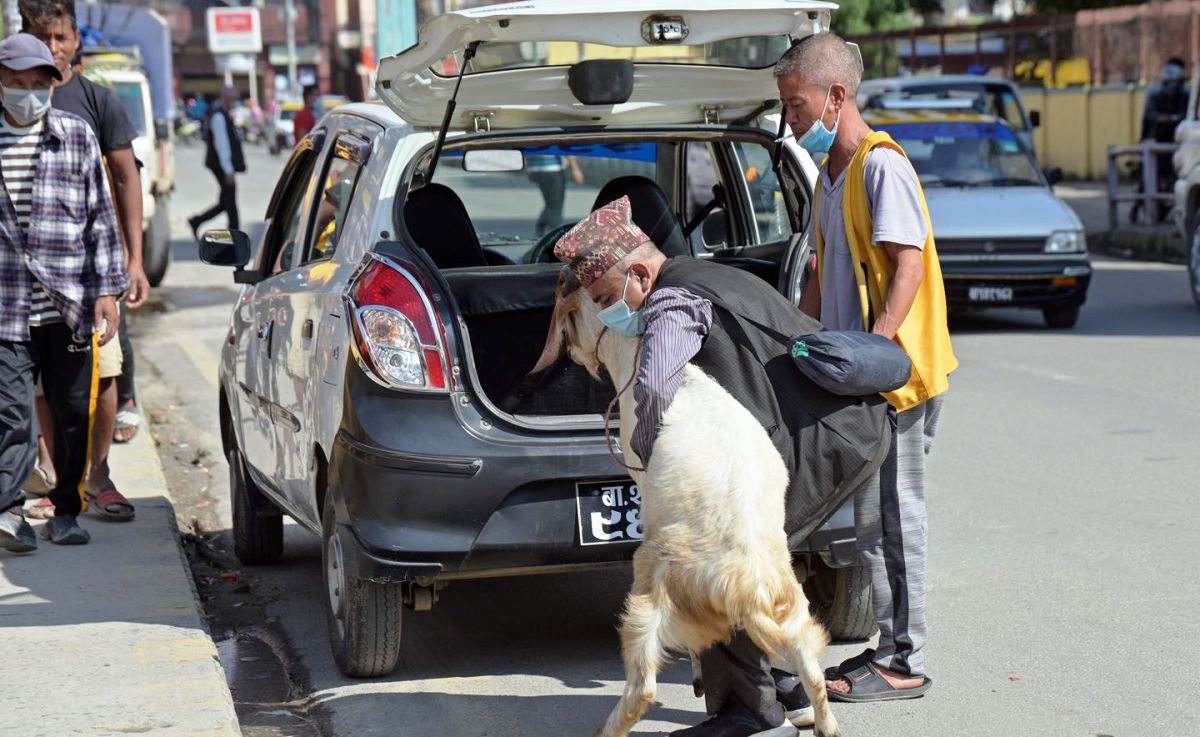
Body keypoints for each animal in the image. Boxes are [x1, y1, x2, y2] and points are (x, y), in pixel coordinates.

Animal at [530, 276, 840, 737]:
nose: (569, 357)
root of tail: (750, 588)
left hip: (653, 582)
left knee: (643, 686)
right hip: (791, 601)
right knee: (813, 671)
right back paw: (824, 724)